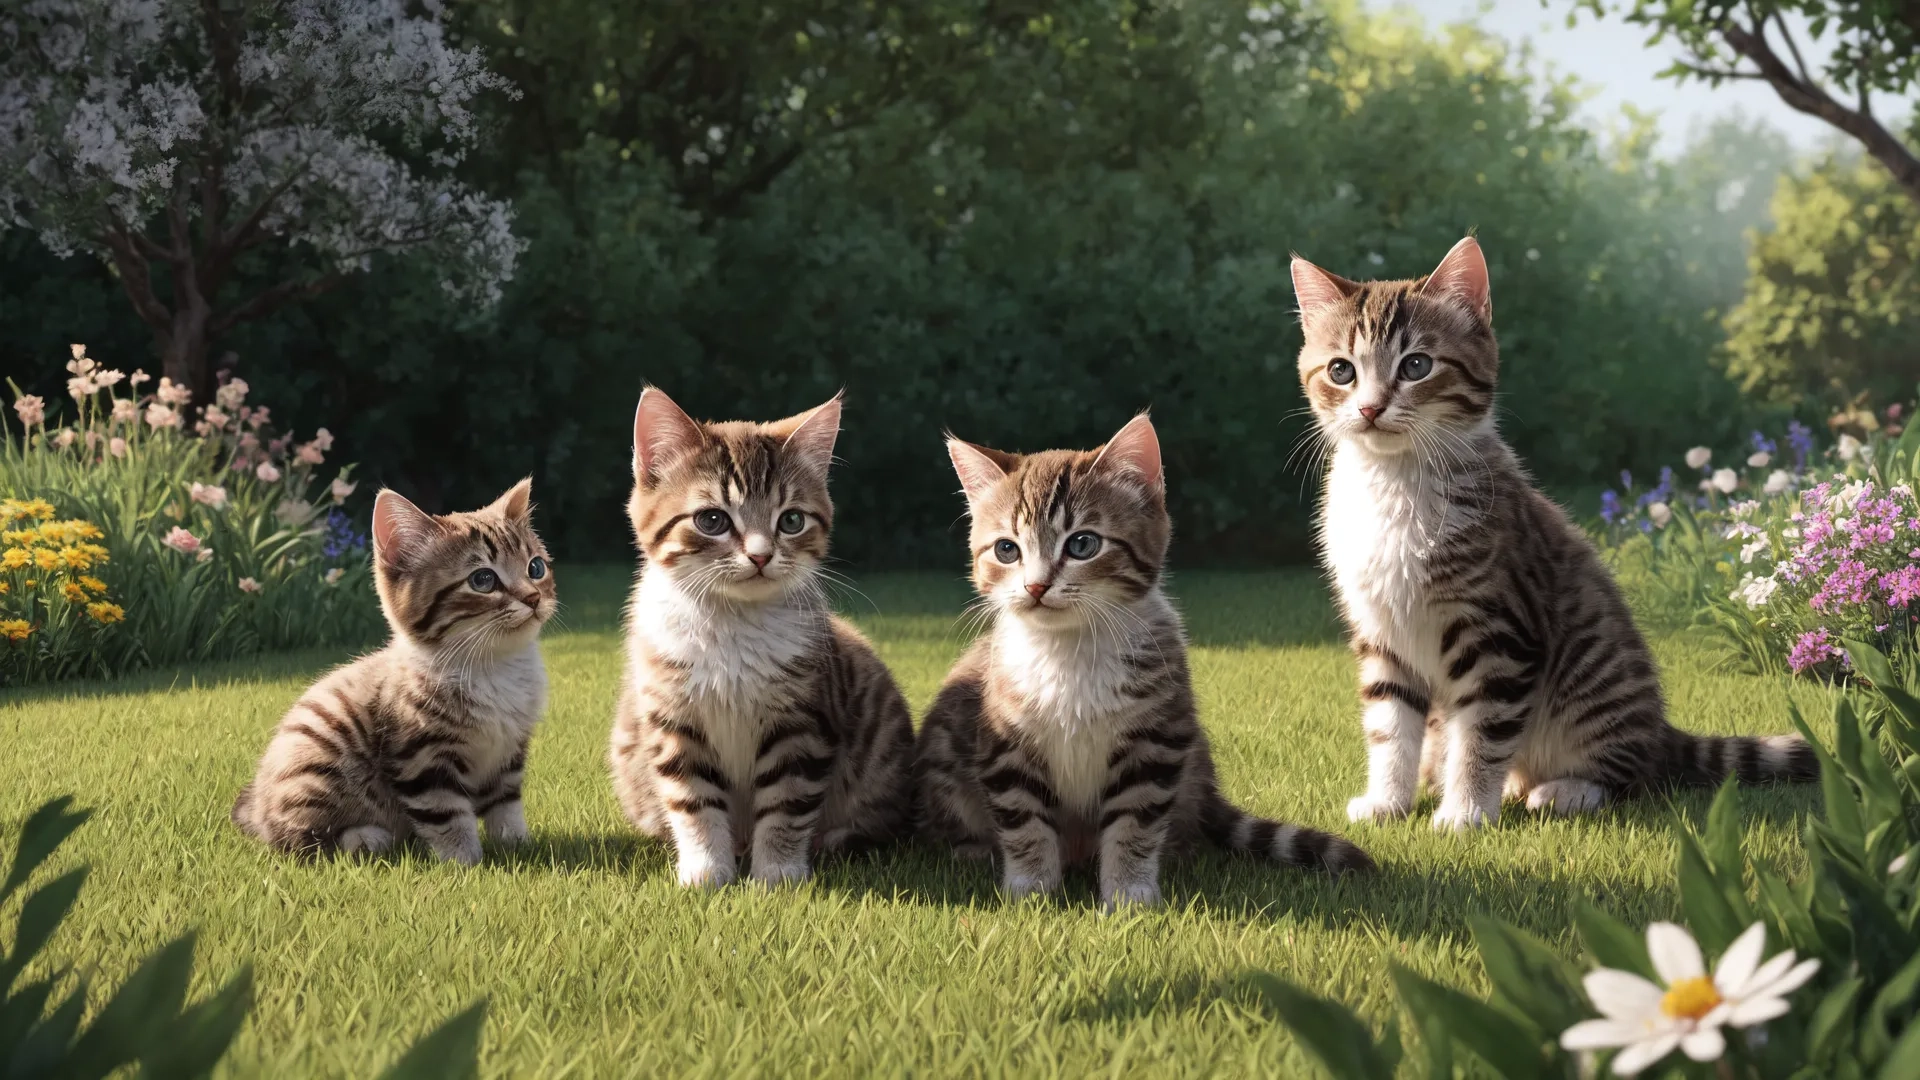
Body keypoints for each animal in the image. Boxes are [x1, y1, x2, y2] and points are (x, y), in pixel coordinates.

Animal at [234, 478, 556, 857]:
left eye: (536, 568)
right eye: (482, 580)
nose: (533, 598)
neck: (493, 667)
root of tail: (257, 808)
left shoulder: (509, 752)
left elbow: (505, 803)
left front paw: (518, 846)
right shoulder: (421, 757)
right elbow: (446, 814)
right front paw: (465, 860)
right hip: (314, 762)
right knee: (297, 841)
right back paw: (366, 838)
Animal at [610, 384, 917, 883]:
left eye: (791, 521)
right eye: (711, 520)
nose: (760, 555)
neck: (733, 625)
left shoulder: (803, 721)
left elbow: (787, 802)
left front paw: (777, 874)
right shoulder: (673, 718)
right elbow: (693, 798)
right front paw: (705, 871)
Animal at [910, 411, 1374, 907]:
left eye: (1082, 545)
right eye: (1005, 549)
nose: (1035, 586)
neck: (1071, 650)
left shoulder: (1156, 736)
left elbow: (1135, 818)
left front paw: (1129, 894)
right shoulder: (1005, 742)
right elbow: (1022, 819)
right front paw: (1031, 889)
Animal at [1290, 237, 1812, 822]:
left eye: (1417, 365)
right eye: (1341, 371)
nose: (1370, 408)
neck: (1392, 481)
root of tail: (1660, 730)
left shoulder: (1501, 632)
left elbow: (1483, 730)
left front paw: (1465, 812)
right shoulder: (1381, 632)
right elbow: (1389, 724)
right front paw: (1388, 801)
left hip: (1595, 679)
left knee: (1630, 774)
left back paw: (1569, 789)